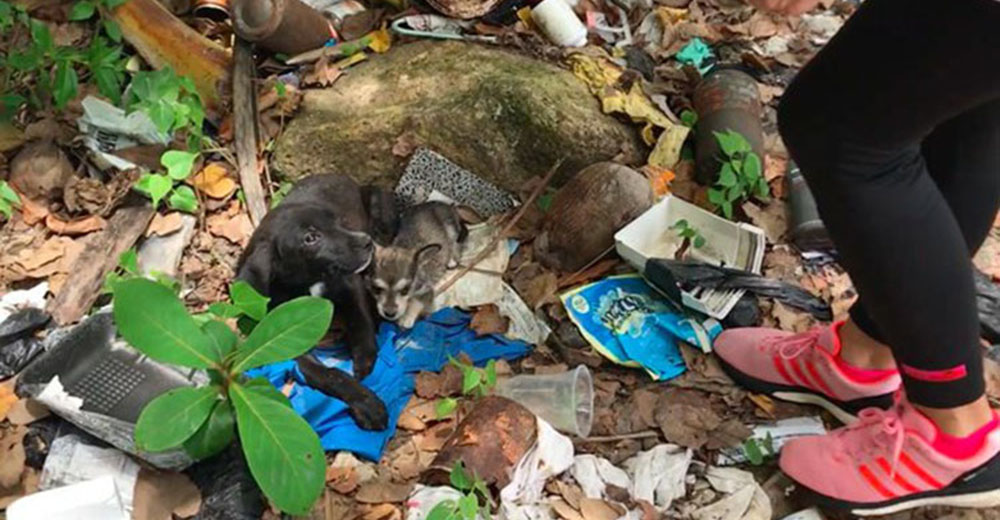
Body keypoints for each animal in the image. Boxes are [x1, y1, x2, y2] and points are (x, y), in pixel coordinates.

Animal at [235, 173, 390, 428]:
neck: (307, 282)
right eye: (311, 238)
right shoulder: (285, 342)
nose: (366, 242)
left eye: (337, 221)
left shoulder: (350, 283)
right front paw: (368, 404)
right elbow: (331, 375)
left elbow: (360, 320)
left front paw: (365, 358)